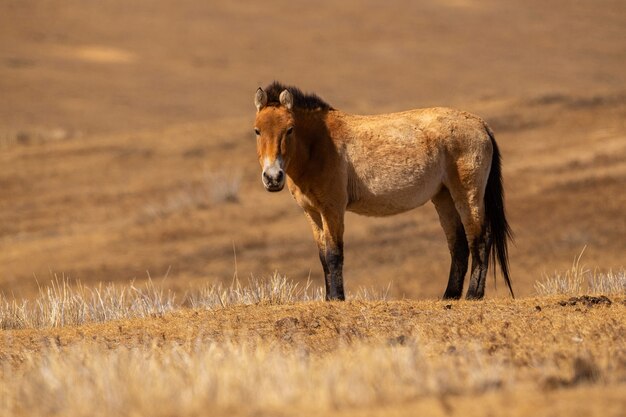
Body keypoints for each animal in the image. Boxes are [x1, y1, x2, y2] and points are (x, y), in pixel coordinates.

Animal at [254, 81, 512, 300]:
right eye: (257, 130)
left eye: (289, 129)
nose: (273, 177)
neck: (319, 144)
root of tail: (481, 124)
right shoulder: (312, 213)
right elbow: (323, 257)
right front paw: (329, 298)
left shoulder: (332, 209)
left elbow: (334, 254)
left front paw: (337, 298)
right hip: (444, 197)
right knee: (458, 244)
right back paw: (449, 296)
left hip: (468, 195)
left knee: (480, 239)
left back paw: (473, 295)